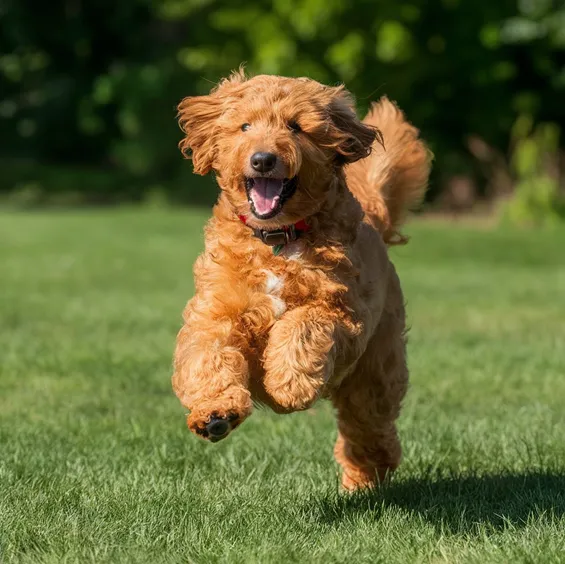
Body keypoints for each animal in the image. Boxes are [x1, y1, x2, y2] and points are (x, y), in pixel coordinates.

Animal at [171, 70, 428, 492]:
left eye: (295, 126)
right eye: (245, 126)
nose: (263, 159)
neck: (277, 239)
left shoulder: (342, 313)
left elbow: (303, 325)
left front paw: (290, 384)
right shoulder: (215, 310)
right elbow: (209, 353)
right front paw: (215, 411)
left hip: (375, 370)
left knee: (370, 427)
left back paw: (364, 481)